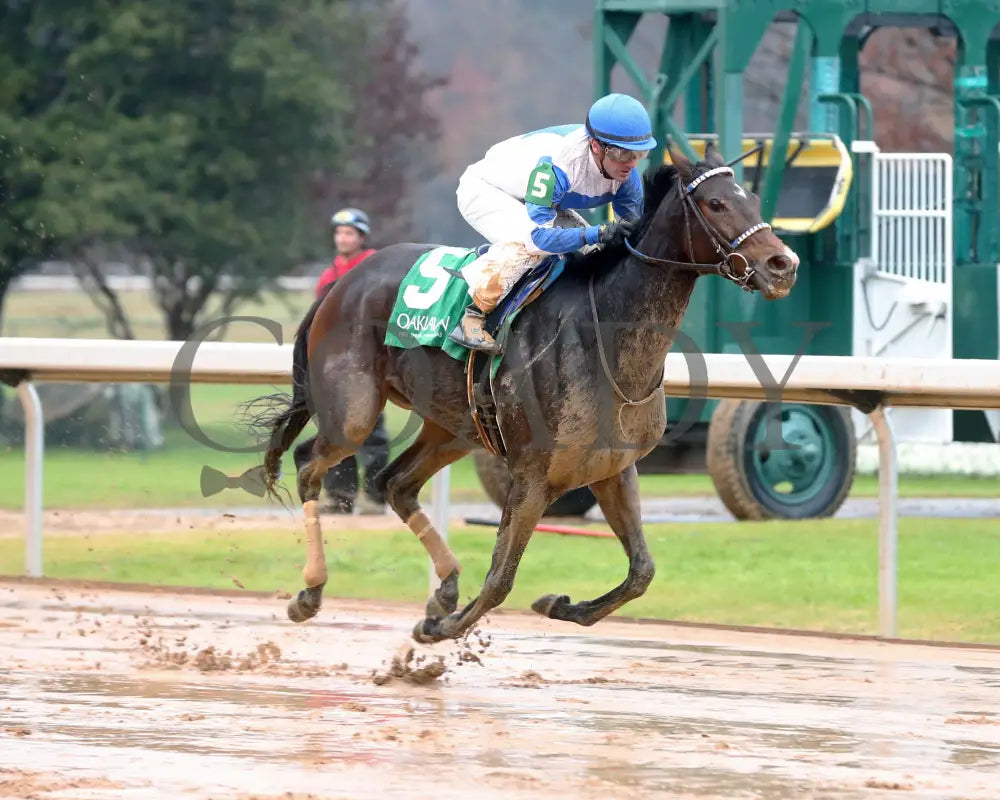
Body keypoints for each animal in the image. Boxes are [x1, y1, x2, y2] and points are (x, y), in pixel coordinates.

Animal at [256, 145, 796, 644]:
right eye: (715, 203)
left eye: (751, 197)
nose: (783, 264)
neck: (604, 336)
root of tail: (341, 283)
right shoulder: (532, 475)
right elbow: (500, 579)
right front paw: (440, 631)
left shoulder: (613, 468)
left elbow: (642, 572)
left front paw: (557, 604)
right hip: (354, 412)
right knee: (309, 463)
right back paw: (310, 592)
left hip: (456, 427)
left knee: (394, 482)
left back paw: (444, 588)